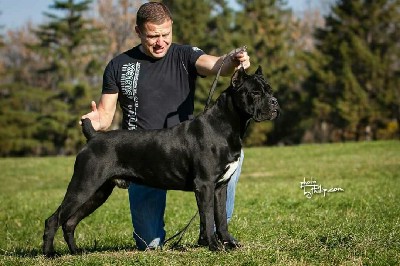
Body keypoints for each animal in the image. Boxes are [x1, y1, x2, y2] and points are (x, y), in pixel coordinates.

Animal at [43, 66, 278, 256]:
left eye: (269, 90)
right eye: (255, 92)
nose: (275, 102)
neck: (227, 124)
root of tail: (93, 137)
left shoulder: (220, 187)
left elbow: (220, 218)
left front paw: (228, 243)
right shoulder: (205, 185)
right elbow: (208, 217)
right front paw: (213, 245)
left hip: (98, 192)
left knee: (70, 222)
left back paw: (76, 252)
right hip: (84, 185)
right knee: (54, 219)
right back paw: (50, 254)